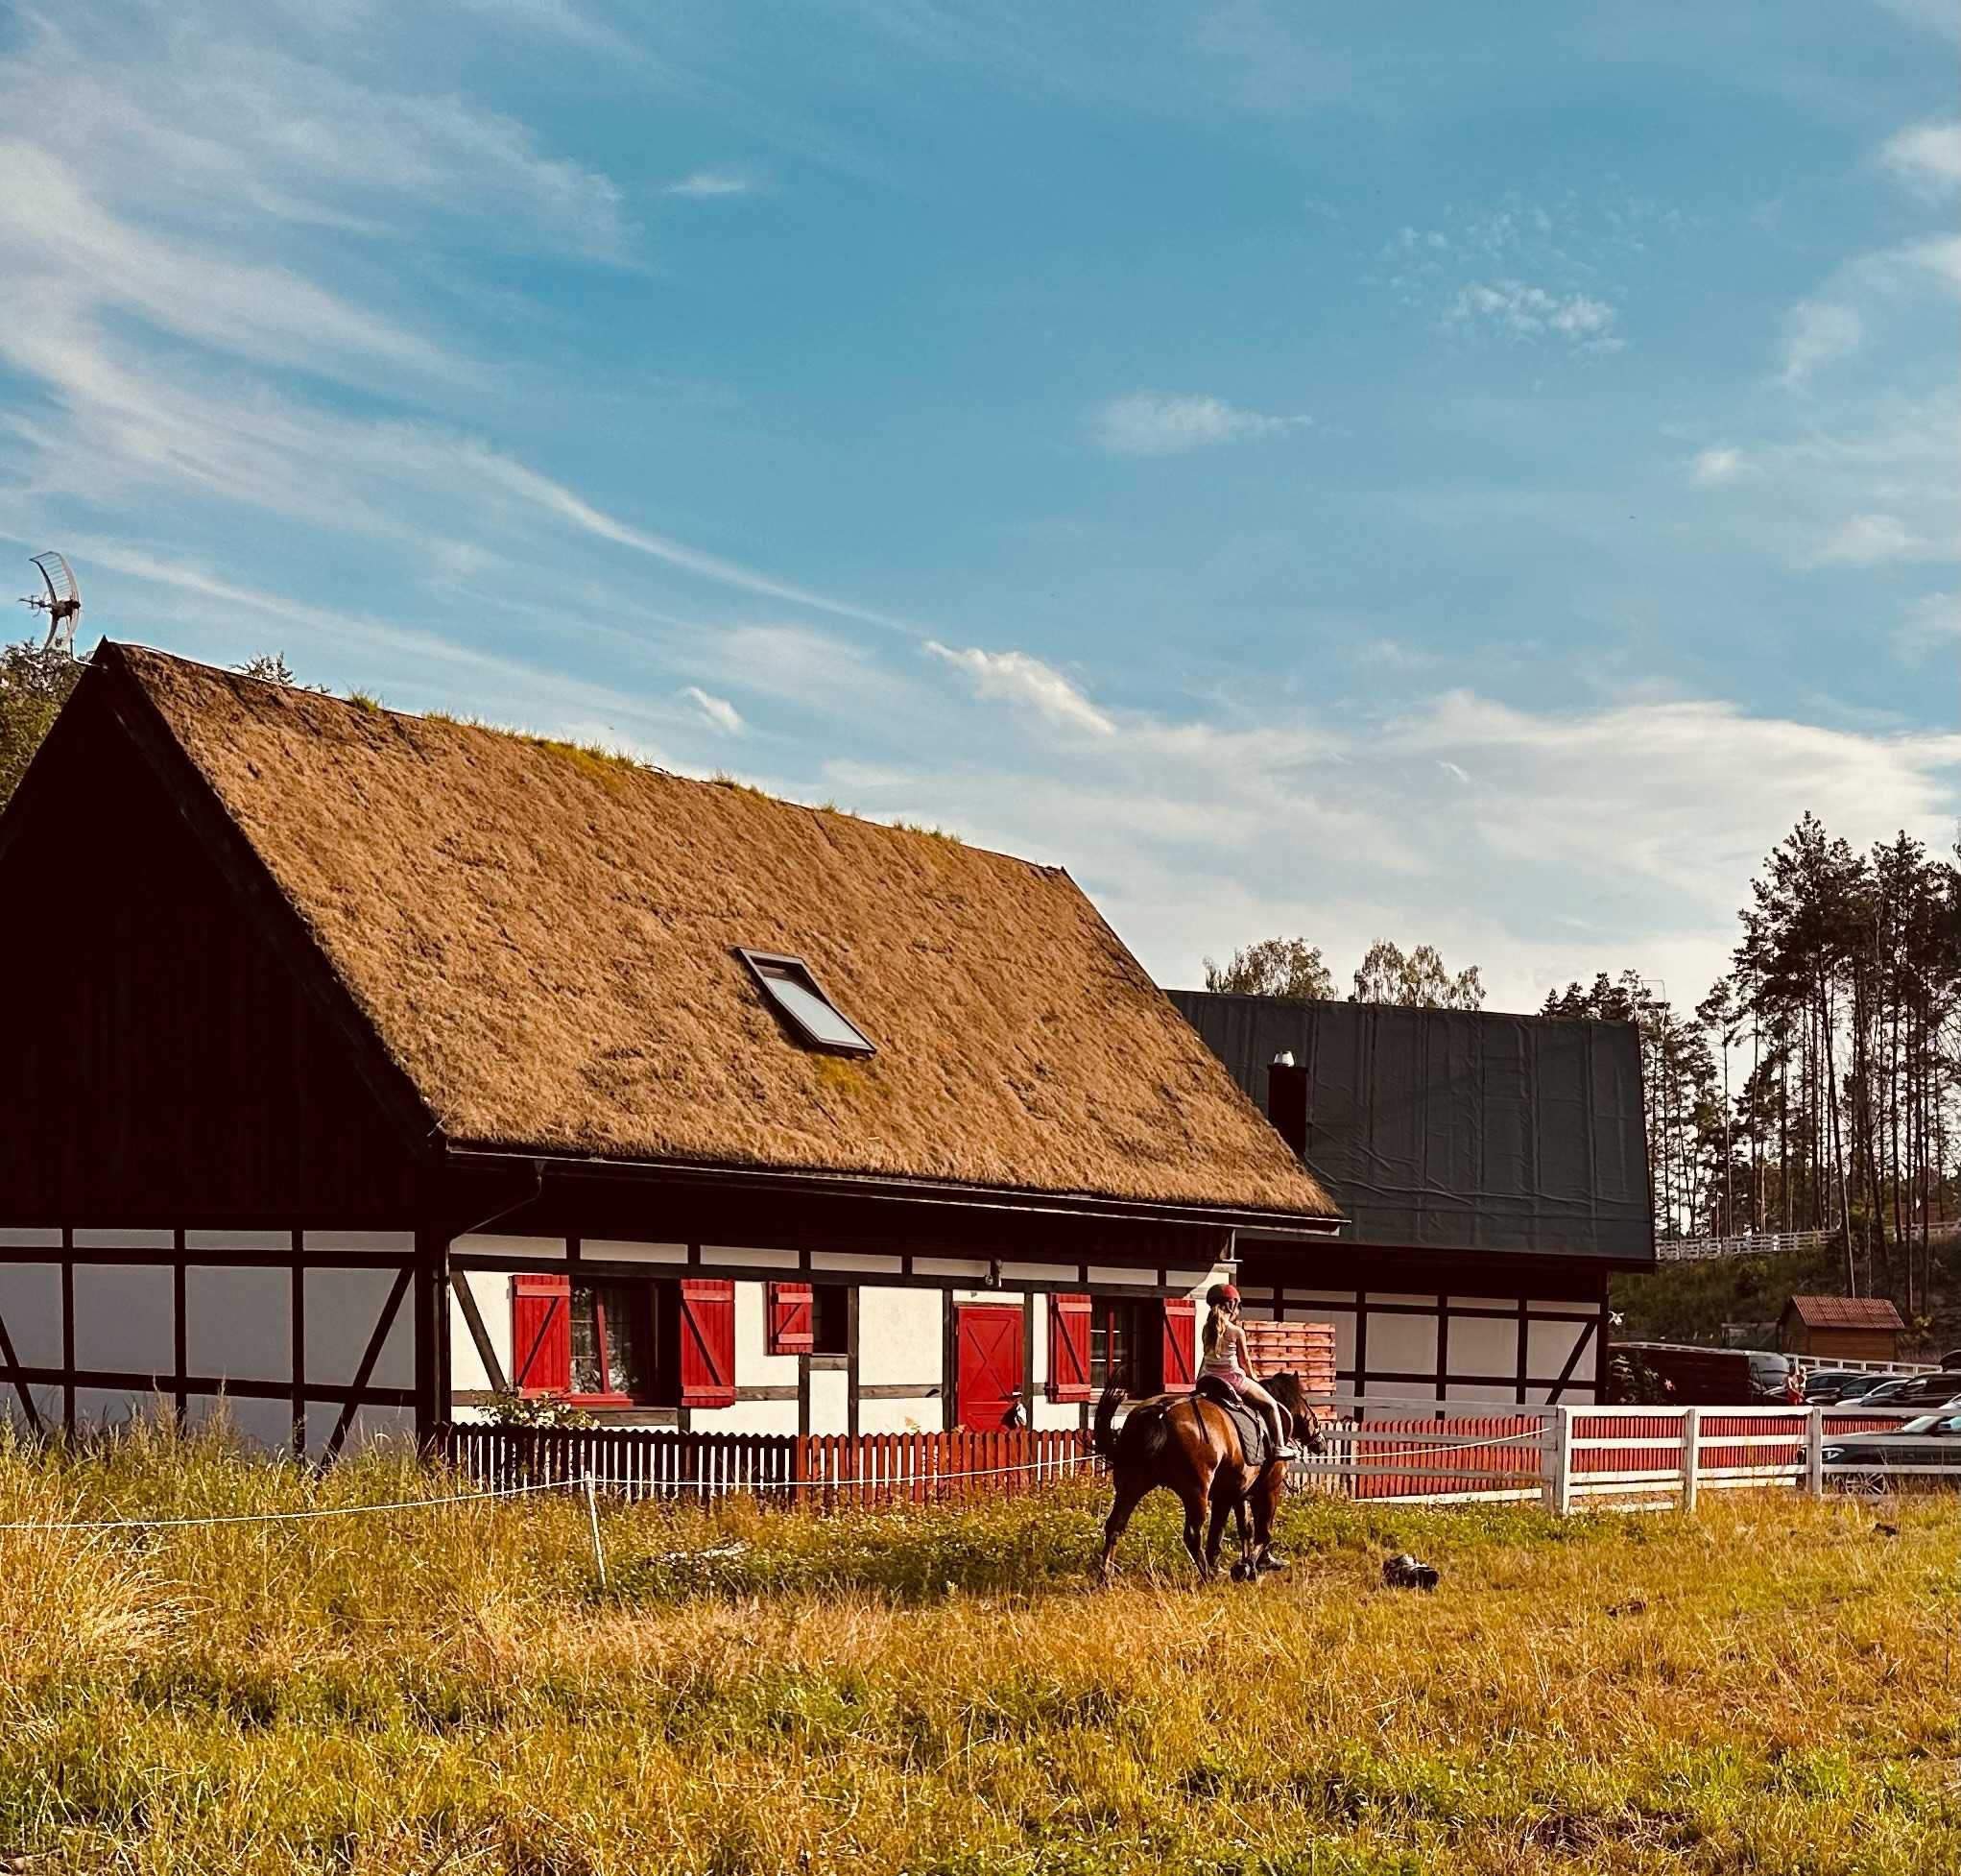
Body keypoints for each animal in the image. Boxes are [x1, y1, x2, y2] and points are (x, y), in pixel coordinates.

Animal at [1098, 1373, 1326, 1593]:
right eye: (1306, 1401)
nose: (1320, 1442)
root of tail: (1160, 1412)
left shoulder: (1230, 1495)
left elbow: (1232, 1530)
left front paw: (1238, 1564)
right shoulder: (1269, 1489)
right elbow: (1263, 1532)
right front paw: (1251, 1566)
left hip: (1131, 1486)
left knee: (1115, 1526)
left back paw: (1106, 1577)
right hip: (1196, 1493)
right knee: (1192, 1535)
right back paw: (1208, 1575)